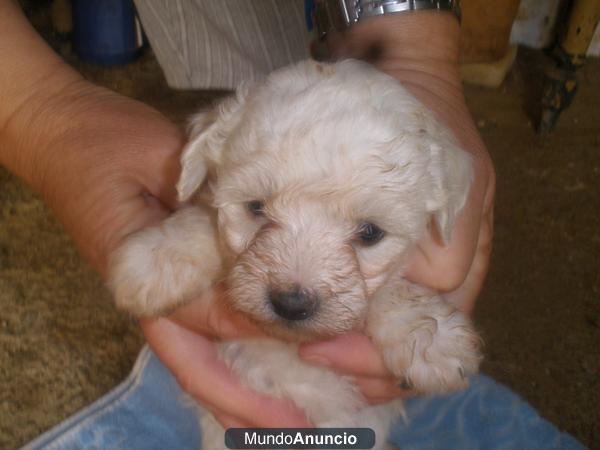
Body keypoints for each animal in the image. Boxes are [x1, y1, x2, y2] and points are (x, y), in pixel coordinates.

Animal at [109, 59, 482, 450]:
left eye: (370, 233)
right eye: (256, 208)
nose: (291, 303)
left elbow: (389, 290)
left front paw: (430, 336)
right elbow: (203, 222)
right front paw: (155, 258)